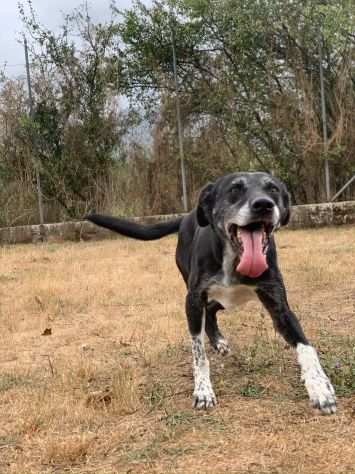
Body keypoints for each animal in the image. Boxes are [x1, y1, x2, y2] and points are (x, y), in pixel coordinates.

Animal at [87, 171, 338, 414]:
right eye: (235, 189)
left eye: (273, 189)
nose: (264, 205)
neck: (234, 259)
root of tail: (187, 215)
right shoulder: (193, 300)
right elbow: (198, 354)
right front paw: (203, 391)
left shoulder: (279, 306)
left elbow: (306, 347)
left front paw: (320, 388)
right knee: (207, 314)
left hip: (228, 298)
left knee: (212, 312)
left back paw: (218, 340)